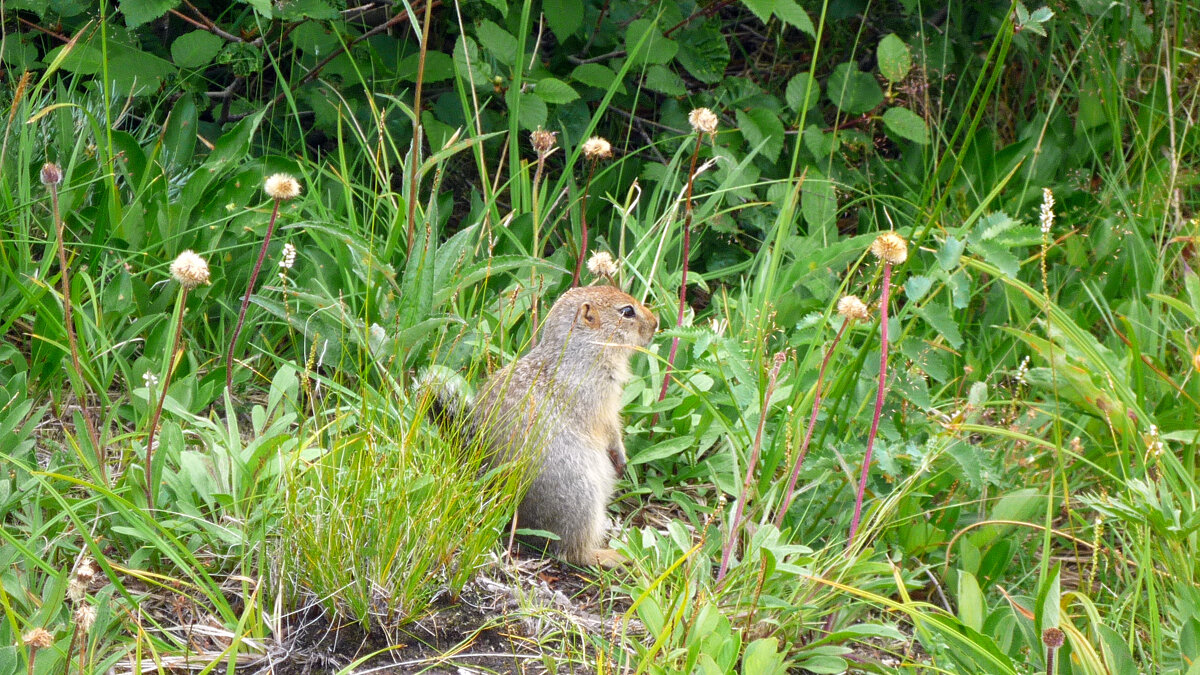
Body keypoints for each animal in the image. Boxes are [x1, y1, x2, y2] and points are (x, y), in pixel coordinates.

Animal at [432, 282, 657, 562]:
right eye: (627, 311)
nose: (656, 323)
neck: (581, 349)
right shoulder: (598, 401)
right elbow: (609, 429)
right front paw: (621, 458)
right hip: (583, 496)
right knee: (574, 552)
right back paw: (612, 556)